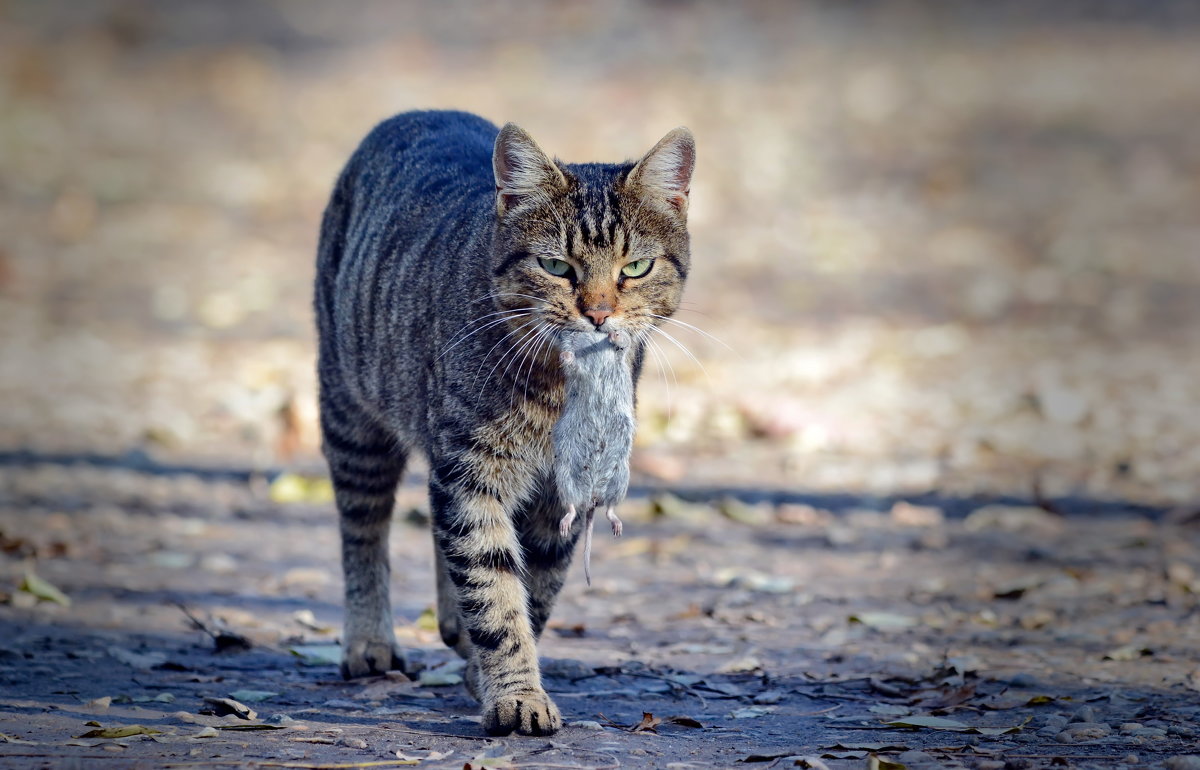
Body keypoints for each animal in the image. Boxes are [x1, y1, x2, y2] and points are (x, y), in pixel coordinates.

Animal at [314, 107, 700, 729]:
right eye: (555, 266)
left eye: (636, 267)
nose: (598, 314)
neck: (558, 390)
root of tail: (419, 111)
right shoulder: (469, 471)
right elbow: (493, 589)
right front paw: (516, 695)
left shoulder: (560, 495)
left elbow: (533, 591)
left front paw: (491, 673)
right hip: (354, 416)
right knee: (364, 529)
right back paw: (368, 641)